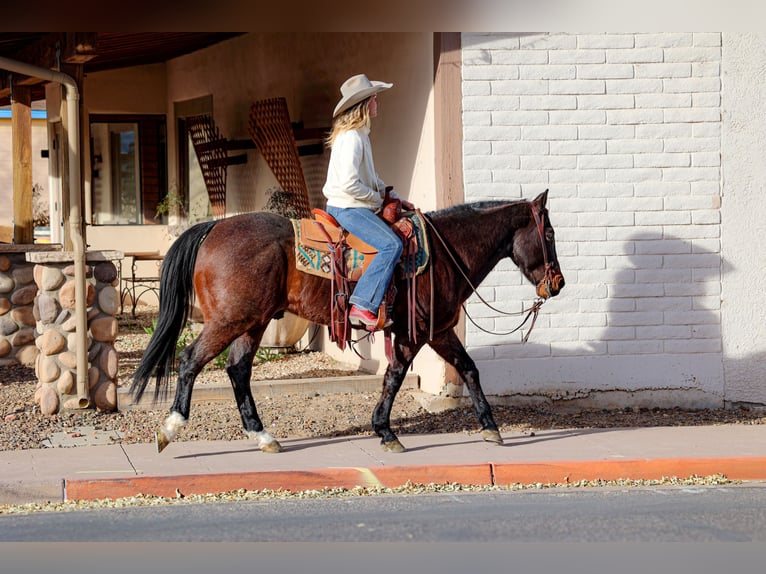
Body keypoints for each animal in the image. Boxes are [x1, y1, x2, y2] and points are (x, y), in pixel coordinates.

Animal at [130, 191, 564, 456]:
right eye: (549, 233)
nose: (557, 283)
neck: (445, 253)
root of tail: (213, 228)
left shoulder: (437, 331)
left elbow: (469, 369)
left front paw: (491, 427)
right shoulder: (416, 333)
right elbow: (395, 377)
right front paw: (386, 431)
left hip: (252, 323)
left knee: (237, 370)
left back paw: (263, 436)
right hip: (229, 321)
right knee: (190, 360)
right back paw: (170, 428)